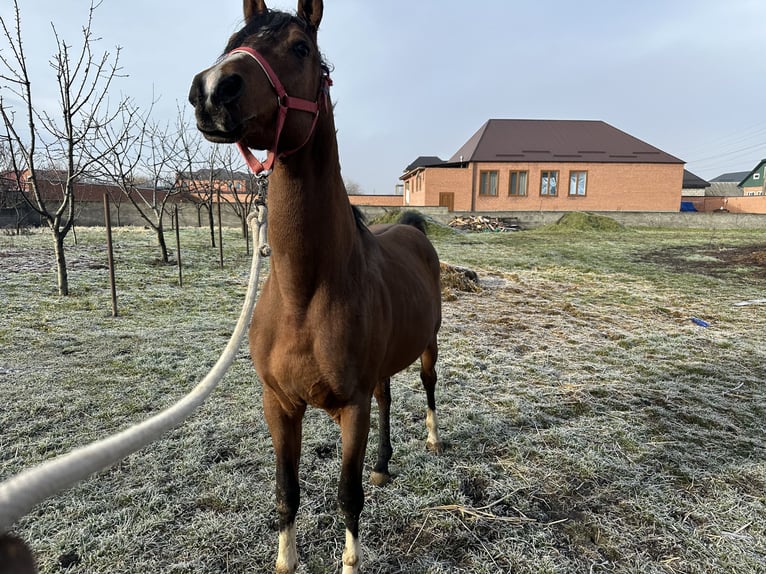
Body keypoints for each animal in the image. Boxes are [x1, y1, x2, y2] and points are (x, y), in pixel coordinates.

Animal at [188, 1, 443, 572]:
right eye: (233, 41)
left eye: (300, 47)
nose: (213, 88)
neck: (305, 294)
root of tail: (412, 228)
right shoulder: (279, 404)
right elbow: (287, 491)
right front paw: (286, 560)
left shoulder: (351, 408)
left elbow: (348, 495)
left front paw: (350, 561)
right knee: (388, 398)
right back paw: (384, 464)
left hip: (430, 347)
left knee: (428, 387)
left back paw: (434, 441)